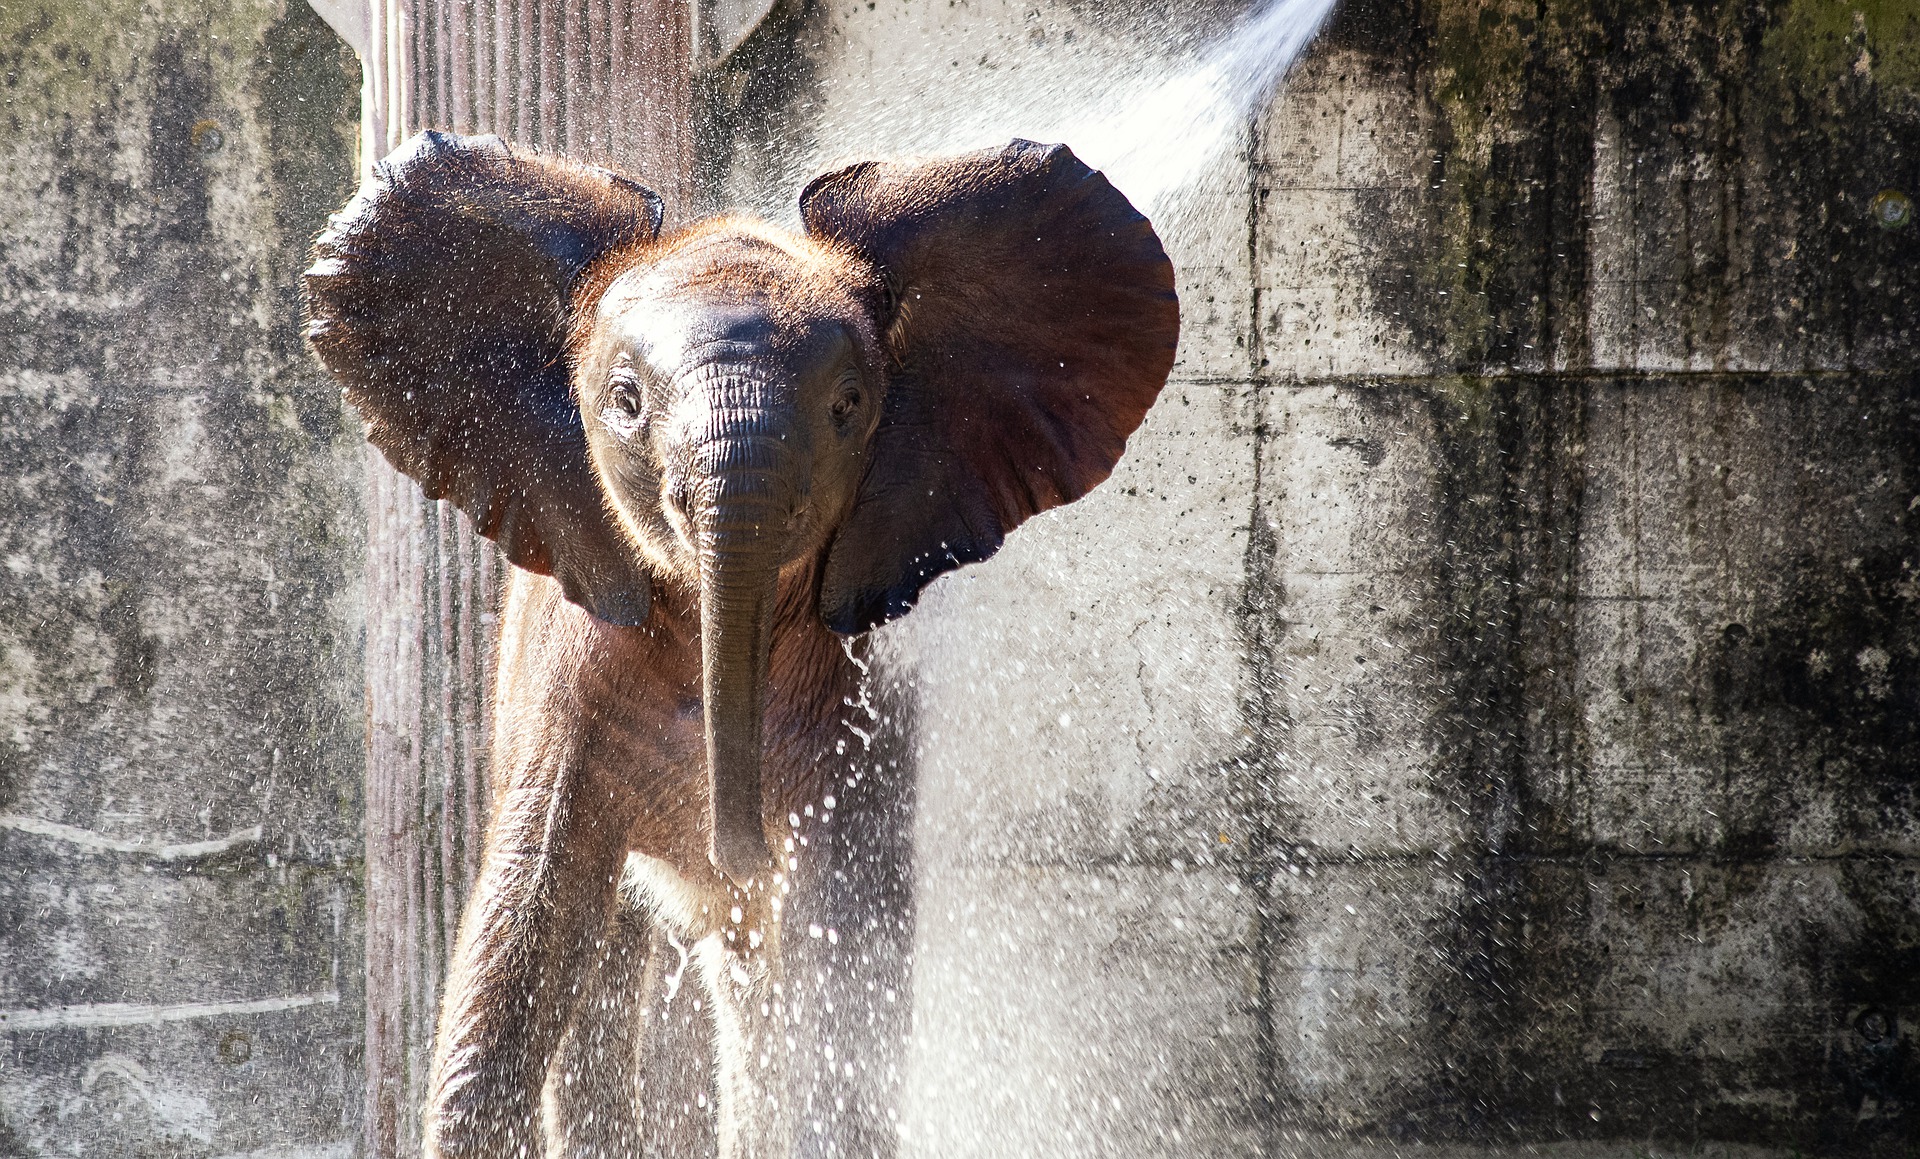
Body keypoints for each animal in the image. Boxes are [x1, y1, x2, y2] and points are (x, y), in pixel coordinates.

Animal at [303, 131, 1167, 1151]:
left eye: (849, 404)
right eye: (625, 400)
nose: (737, 847)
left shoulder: (859, 706)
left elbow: (843, 968)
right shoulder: (569, 682)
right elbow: (522, 934)